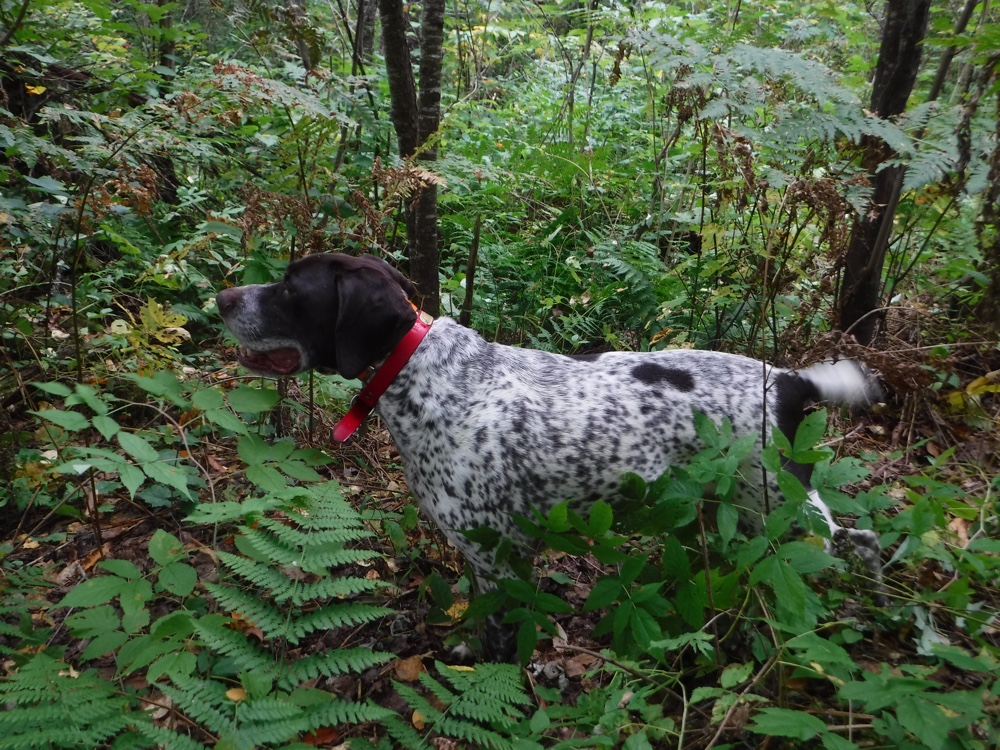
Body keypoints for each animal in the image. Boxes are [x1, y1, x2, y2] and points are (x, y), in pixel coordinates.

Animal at [219, 254, 884, 664]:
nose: (222, 295)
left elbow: (499, 637)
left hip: (782, 506)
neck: (428, 375)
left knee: (856, 541)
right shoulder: (487, 557)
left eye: (290, 289)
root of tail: (793, 381)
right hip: (747, 511)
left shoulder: (499, 553)